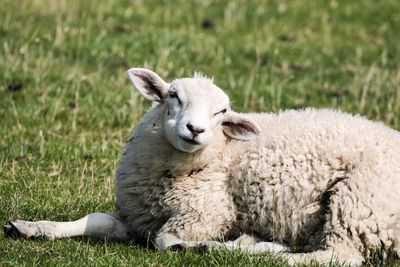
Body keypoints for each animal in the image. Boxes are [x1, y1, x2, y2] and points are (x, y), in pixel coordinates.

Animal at [4, 68, 400, 266]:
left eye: (221, 112)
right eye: (172, 96)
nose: (194, 129)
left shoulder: (205, 213)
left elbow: (166, 241)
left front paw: (193, 247)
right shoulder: (139, 215)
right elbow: (97, 221)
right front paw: (30, 227)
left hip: (358, 204)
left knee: (337, 257)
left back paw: (251, 251)